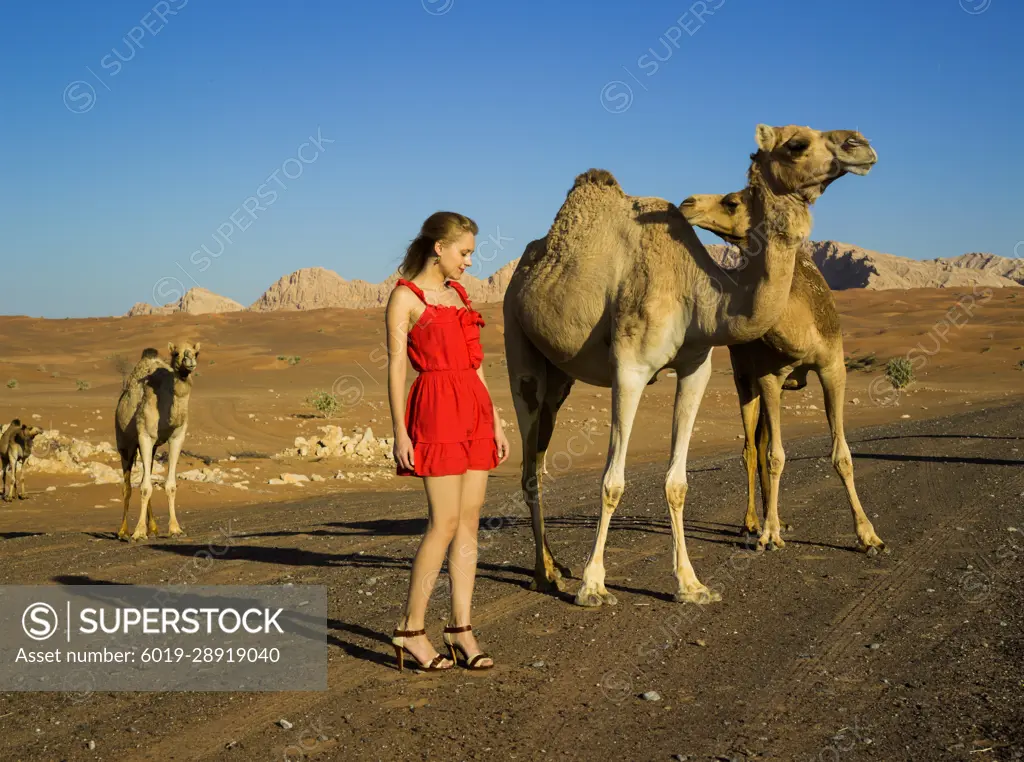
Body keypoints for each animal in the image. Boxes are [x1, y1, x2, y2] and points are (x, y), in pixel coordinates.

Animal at [114, 340, 199, 540]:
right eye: (176, 353)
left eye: (196, 353)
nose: (190, 361)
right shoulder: (145, 435)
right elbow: (144, 487)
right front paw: (138, 533)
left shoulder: (177, 437)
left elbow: (170, 485)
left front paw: (175, 529)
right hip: (124, 444)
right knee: (127, 486)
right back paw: (123, 531)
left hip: (151, 449)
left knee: (147, 475)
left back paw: (152, 528)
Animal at [675, 186, 884, 553]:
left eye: (732, 201)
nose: (687, 204)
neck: (801, 325)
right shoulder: (769, 377)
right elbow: (775, 456)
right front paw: (769, 535)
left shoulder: (833, 367)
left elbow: (842, 455)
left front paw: (868, 535)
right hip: (744, 377)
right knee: (750, 448)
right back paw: (752, 523)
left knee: (759, 443)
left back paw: (776, 519)